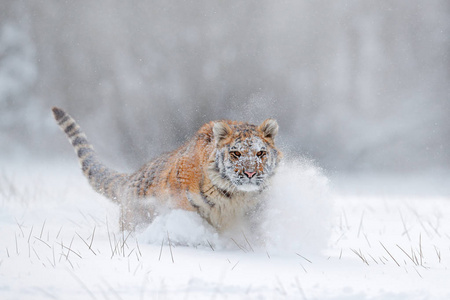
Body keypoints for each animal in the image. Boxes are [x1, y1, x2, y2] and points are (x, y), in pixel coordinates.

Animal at [51, 107, 282, 232]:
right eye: (236, 154)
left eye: (260, 153)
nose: (250, 173)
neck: (235, 196)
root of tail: (132, 177)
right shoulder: (185, 207)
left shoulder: (255, 213)